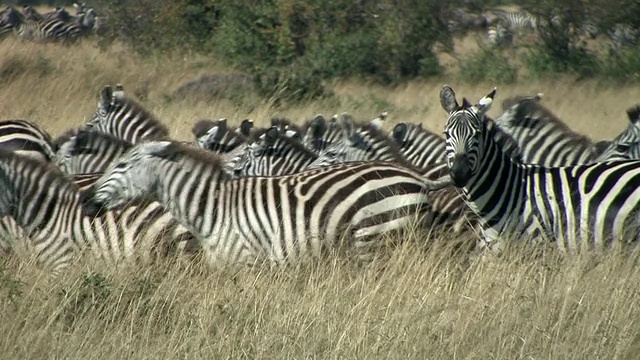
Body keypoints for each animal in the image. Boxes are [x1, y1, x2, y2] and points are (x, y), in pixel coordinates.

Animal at [87, 140, 452, 264]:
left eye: (122, 165)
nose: (87, 202)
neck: (212, 208)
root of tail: (417, 177)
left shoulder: (248, 262)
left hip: (379, 238)